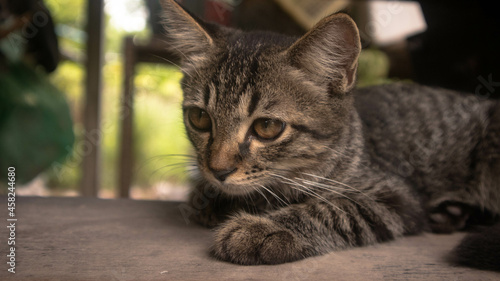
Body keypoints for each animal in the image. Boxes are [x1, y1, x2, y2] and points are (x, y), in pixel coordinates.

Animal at [161, 0, 500, 266]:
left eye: (267, 127)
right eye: (200, 118)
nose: (218, 170)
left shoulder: (394, 195)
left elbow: (334, 209)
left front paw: (262, 230)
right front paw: (209, 196)